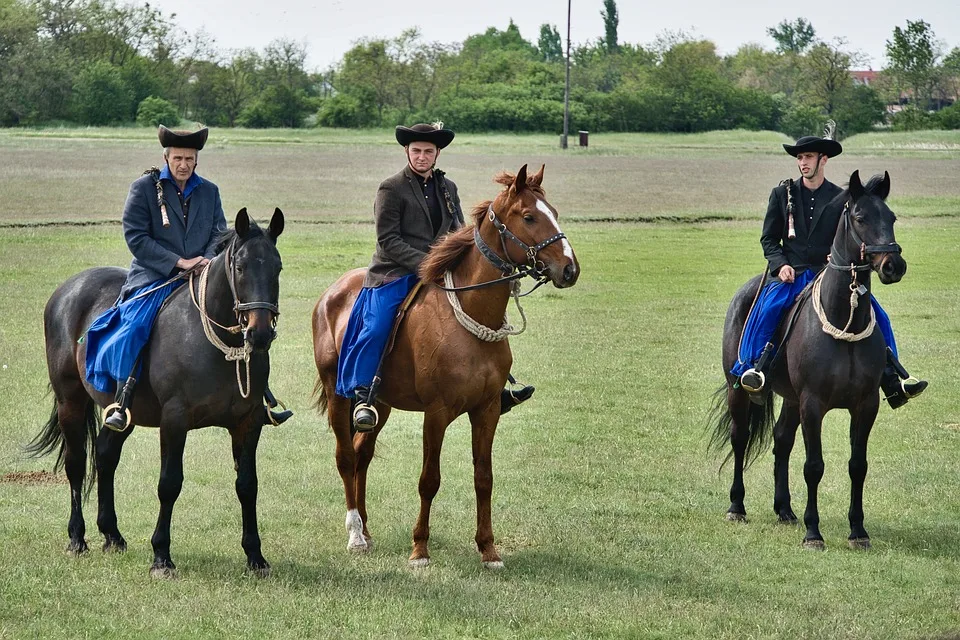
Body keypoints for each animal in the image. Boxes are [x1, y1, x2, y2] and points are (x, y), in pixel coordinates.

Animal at [27, 211, 284, 580]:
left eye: (277, 267)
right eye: (240, 267)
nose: (260, 332)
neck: (219, 345)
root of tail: (67, 289)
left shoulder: (247, 423)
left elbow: (247, 485)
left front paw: (255, 556)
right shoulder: (174, 421)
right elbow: (169, 484)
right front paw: (161, 555)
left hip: (123, 412)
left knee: (105, 455)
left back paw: (112, 534)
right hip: (70, 402)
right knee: (76, 465)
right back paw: (77, 538)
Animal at [314, 166, 576, 568]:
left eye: (556, 212)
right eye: (529, 216)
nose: (569, 269)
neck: (470, 314)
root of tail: (331, 293)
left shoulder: (487, 410)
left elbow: (484, 478)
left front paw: (488, 550)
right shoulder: (436, 414)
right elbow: (429, 480)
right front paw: (419, 549)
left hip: (380, 404)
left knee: (362, 454)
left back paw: (367, 530)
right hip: (337, 393)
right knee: (345, 457)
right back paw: (356, 534)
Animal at [712, 171, 908, 552]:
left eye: (891, 217)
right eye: (860, 218)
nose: (893, 265)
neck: (844, 319)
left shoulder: (866, 404)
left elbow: (857, 465)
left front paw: (858, 531)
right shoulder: (812, 403)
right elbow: (814, 466)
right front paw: (813, 532)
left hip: (789, 399)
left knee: (781, 441)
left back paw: (784, 509)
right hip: (738, 390)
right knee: (740, 438)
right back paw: (736, 506)